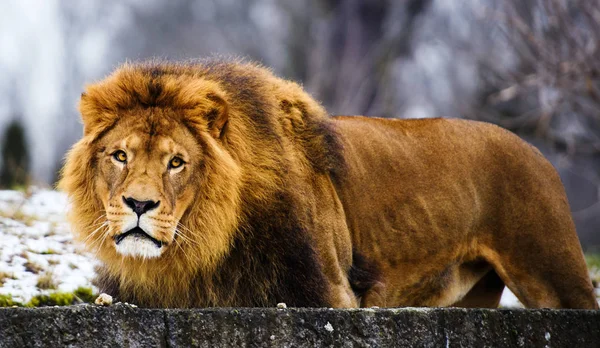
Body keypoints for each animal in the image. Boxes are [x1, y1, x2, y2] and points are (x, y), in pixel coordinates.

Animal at [58, 58, 596, 308]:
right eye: (120, 156)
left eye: (176, 163)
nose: (138, 204)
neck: (197, 256)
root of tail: (537, 151)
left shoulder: (333, 295)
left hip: (554, 275)